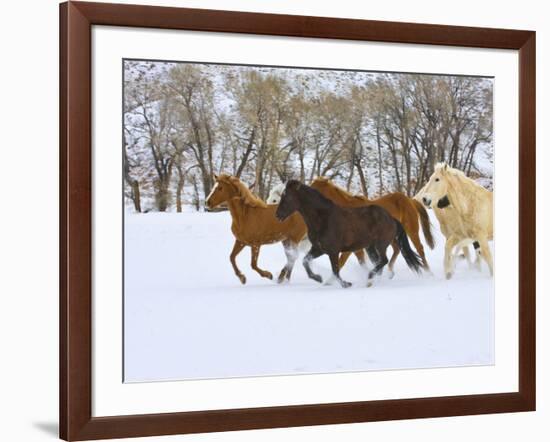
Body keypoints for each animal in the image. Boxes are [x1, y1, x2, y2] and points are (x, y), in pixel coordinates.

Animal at [278, 180, 424, 288]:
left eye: (286, 197)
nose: (277, 215)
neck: (323, 218)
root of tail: (391, 218)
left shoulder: (333, 251)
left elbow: (336, 270)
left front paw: (346, 284)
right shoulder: (319, 248)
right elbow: (305, 261)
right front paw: (318, 278)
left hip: (380, 244)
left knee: (384, 260)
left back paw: (370, 277)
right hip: (370, 247)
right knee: (379, 262)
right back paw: (372, 281)